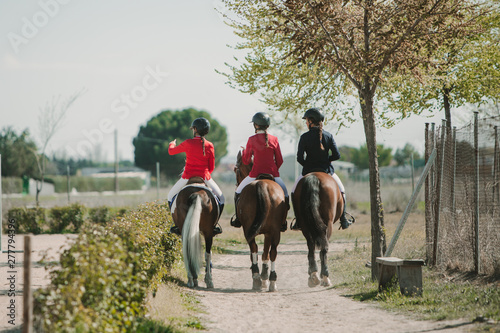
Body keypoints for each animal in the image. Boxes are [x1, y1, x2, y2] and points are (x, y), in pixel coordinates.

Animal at [235, 150, 290, 290]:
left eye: (235, 169)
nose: (237, 184)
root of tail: (262, 184)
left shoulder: (265, 232)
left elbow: (261, 253)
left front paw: (262, 278)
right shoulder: (268, 233)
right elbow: (265, 253)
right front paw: (265, 277)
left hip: (252, 229)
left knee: (255, 248)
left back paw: (257, 278)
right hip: (274, 231)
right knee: (272, 252)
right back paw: (271, 281)